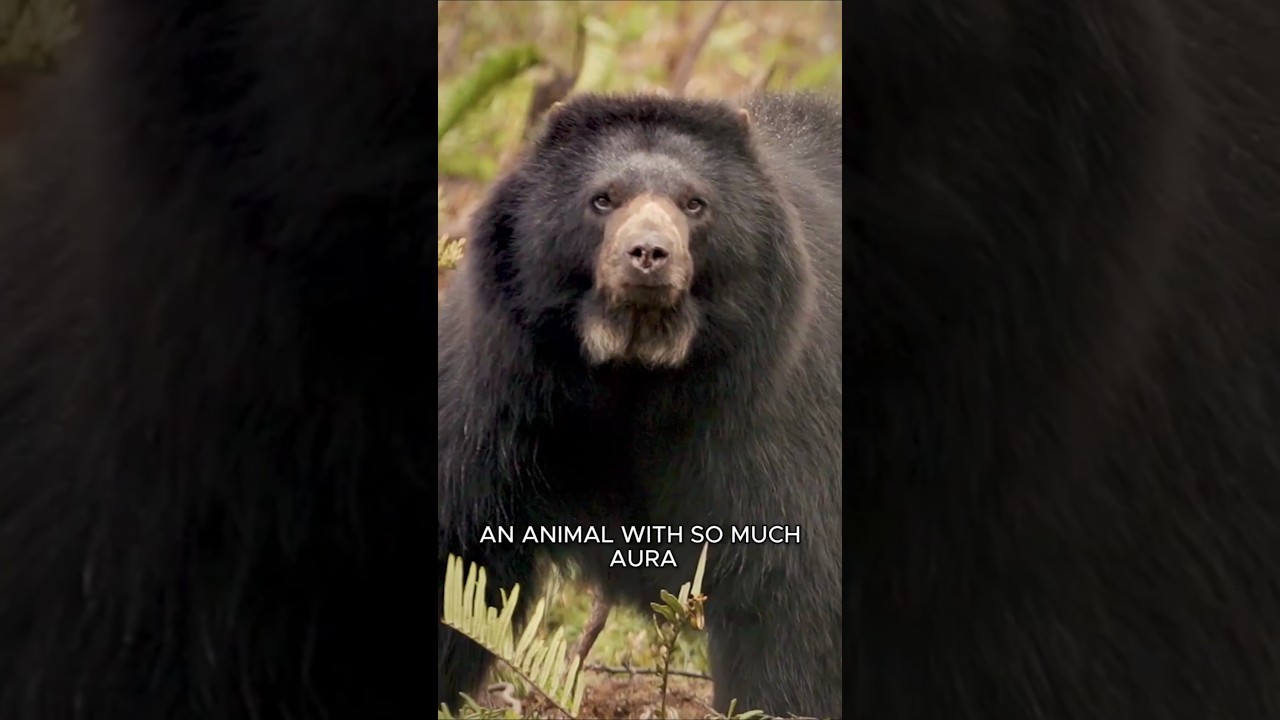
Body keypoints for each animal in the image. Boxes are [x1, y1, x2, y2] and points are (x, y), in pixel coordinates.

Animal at [437, 92, 845, 719]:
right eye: (603, 199)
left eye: (695, 204)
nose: (648, 255)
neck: (635, 371)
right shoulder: (503, 393)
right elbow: (460, 550)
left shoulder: (774, 414)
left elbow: (790, 599)